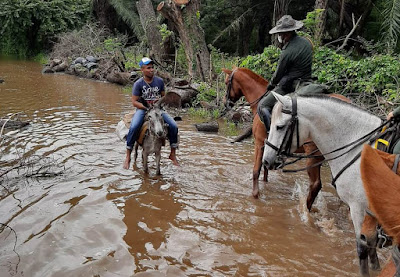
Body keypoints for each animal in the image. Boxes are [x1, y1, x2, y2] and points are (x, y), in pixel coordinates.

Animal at [222, 67, 350, 209]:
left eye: (227, 82)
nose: (225, 103)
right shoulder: (269, 149)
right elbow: (265, 170)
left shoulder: (259, 144)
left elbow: (256, 171)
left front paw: (255, 195)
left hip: (313, 155)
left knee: (316, 185)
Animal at [262, 91, 388, 274]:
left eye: (279, 126)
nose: (266, 161)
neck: (358, 147)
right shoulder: (371, 211)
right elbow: (371, 247)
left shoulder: (358, 207)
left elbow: (362, 248)